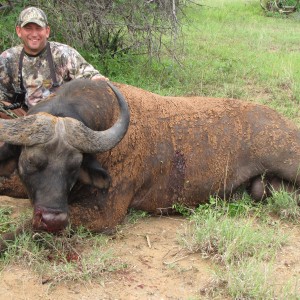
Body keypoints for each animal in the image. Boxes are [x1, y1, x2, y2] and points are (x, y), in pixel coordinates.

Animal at [0, 78, 300, 233]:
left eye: (75, 166)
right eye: (30, 162)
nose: (53, 218)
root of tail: (284, 123)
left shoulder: (105, 214)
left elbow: (21, 228)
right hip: (263, 188)